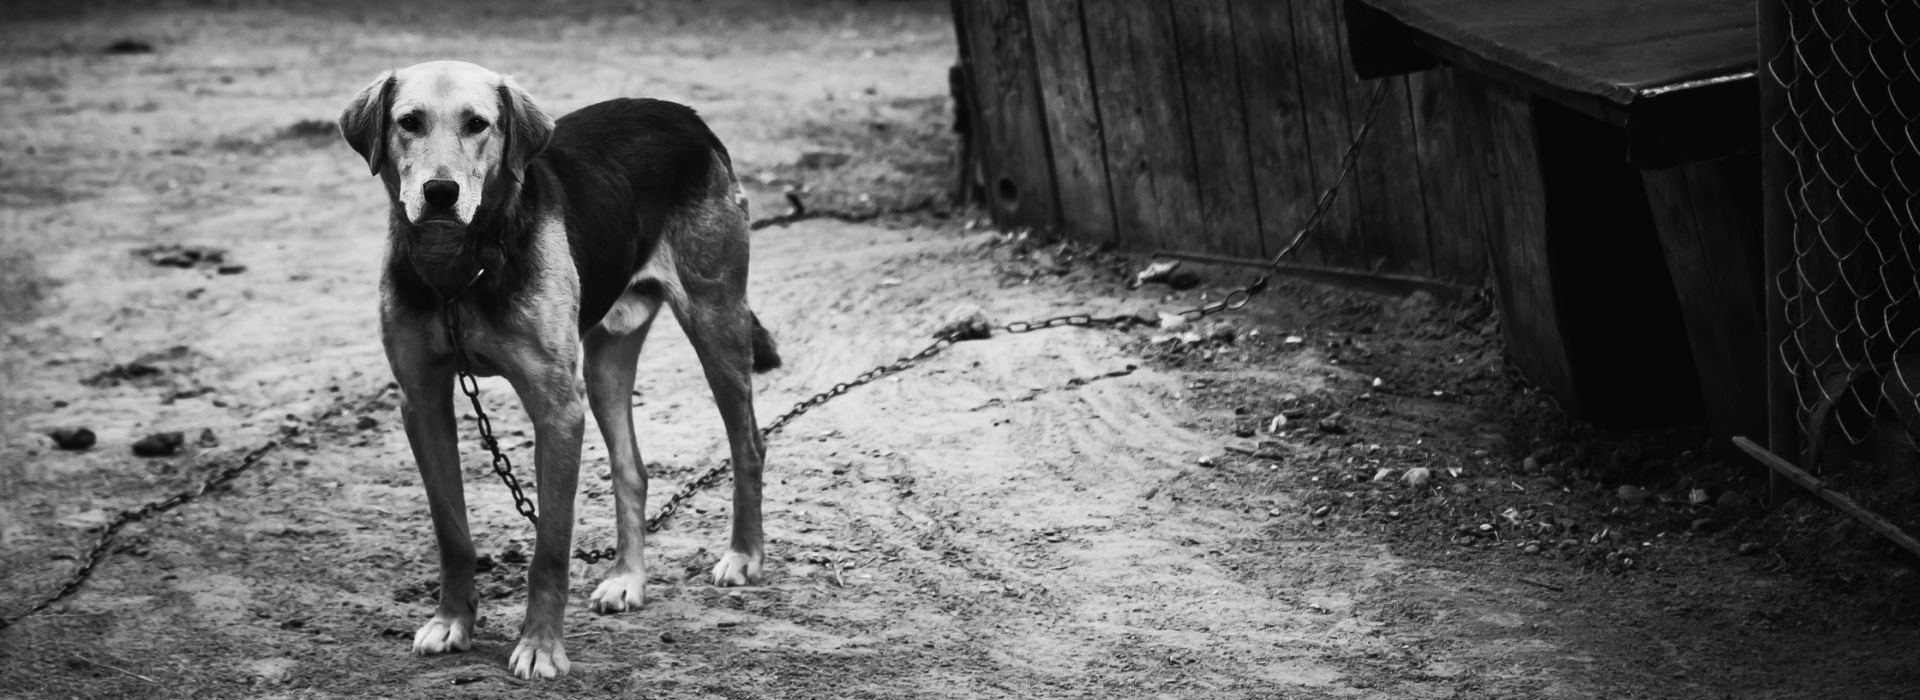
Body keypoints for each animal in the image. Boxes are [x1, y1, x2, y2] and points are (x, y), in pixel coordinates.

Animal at [337, 59, 779, 675]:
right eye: (409, 122)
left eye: (478, 124)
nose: (440, 192)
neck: (461, 266)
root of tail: (686, 116)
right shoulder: (421, 399)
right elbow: (452, 533)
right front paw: (452, 622)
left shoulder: (557, 408)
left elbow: (550, 545)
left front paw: (541, 647)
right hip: (606, 359)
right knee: (632, 470)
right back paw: (627, 580)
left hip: (715, 321)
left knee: (748, 445)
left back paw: (743, 555)